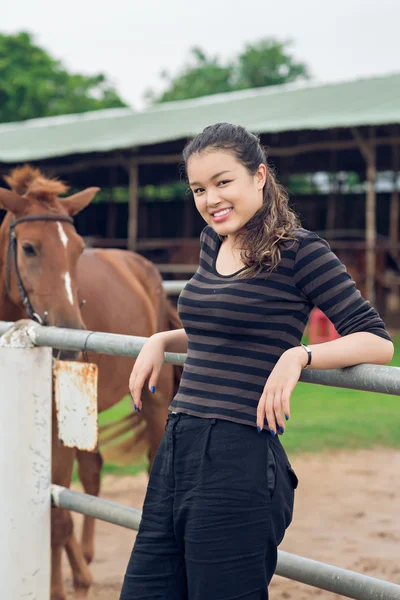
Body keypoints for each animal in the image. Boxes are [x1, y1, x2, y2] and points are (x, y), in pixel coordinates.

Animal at [0, 165, 181, 600]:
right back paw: (85, 558)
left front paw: (62, 587)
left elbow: (56, 517)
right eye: (29, 248)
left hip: (156, 404)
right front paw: (77, 574)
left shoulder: (54, 427)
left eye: (78, 250)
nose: (70, 343)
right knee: (94, 470)